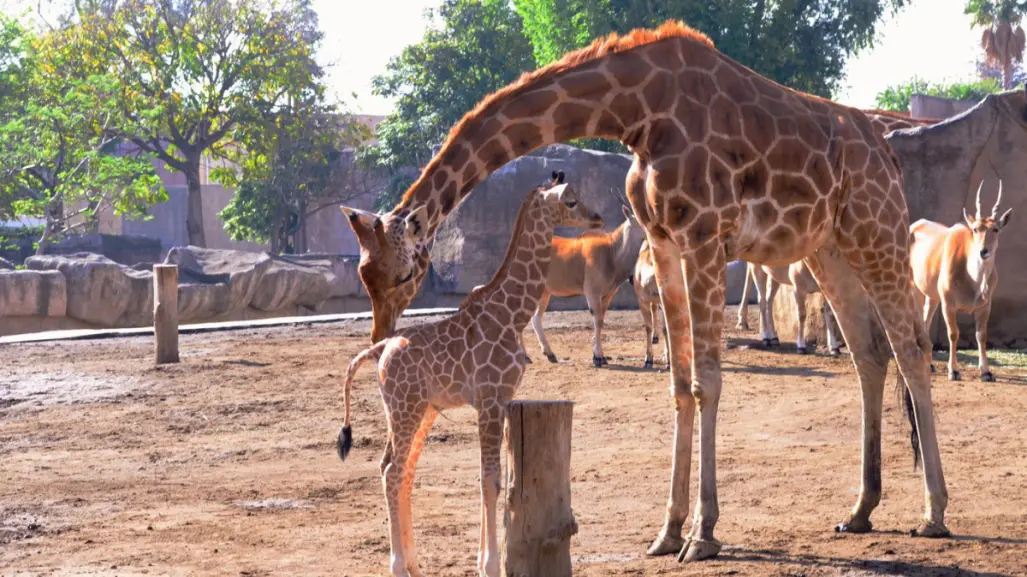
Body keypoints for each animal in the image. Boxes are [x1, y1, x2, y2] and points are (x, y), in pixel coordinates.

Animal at [332, 170, 603, 574]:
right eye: (571, 201)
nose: (598, 218)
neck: (511, 314)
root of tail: (380, 351)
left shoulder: (502, 401)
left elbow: (494, 478)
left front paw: (483, 561)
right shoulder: (489, 399)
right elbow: (489, 479)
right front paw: (490, 565)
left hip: (419, 410)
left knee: (399, 469)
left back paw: (414, 564)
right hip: (405, 408)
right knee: (393, 470)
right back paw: (398, 565)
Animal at [529, 204, 640, 363]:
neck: (611, 252)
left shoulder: (607, 296)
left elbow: (601, 319)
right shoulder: (592, 293)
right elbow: (598, 320)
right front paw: (598, 356)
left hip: (544, 292)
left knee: (535, 318)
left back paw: (549, 353)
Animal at [907, 177, 1010, 379]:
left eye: (995, 229)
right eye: (976, 229)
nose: (983, 251)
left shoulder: (985, 306)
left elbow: (981, 335)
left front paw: (986, 372)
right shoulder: (949, 304)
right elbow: (953, 333)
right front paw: (953, 370)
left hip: (932, 296)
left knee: (925, 321)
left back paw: (930, 364)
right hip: (914, 288)